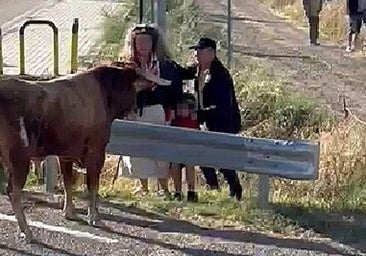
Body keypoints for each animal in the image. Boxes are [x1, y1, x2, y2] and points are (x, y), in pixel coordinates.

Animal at [0, 61, 164, 241]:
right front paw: (94, 217)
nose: (135, 111)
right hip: (19, 160)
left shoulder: (66, 155)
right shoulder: (96, 152)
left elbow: (68, 182)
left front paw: (69, 212)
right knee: (14, 192)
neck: (104, 92)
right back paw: (27, 231)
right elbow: (92, 186)